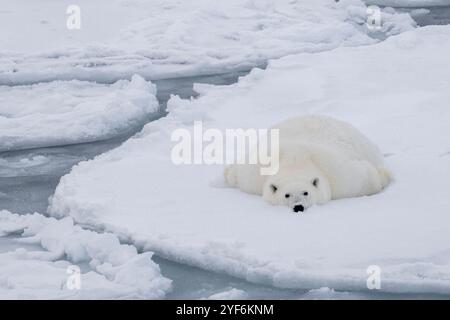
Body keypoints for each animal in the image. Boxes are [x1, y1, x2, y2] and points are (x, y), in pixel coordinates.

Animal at [225, 115, 390, 212]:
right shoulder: (254, 175)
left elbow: (368, 178)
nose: (298, 207)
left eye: (306, 192)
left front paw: (384, 175)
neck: (295, 161)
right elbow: (235, 174)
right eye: (287, 195)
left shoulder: (341, 178)